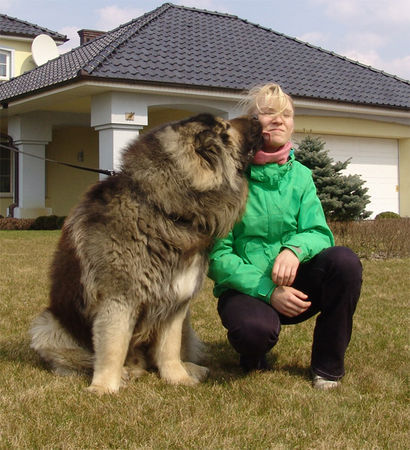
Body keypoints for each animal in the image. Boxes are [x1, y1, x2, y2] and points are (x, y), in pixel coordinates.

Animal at [31, 112, 262, 394]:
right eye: (225, 129)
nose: (257, 117)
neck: (164, 209)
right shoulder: (118, 300)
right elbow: (112, 347)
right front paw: (104, 387)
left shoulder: (177, 301)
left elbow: (169, 348)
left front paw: (178, 378)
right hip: (47, 326)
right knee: (84, 359)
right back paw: (126, 372)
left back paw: (190, 368)